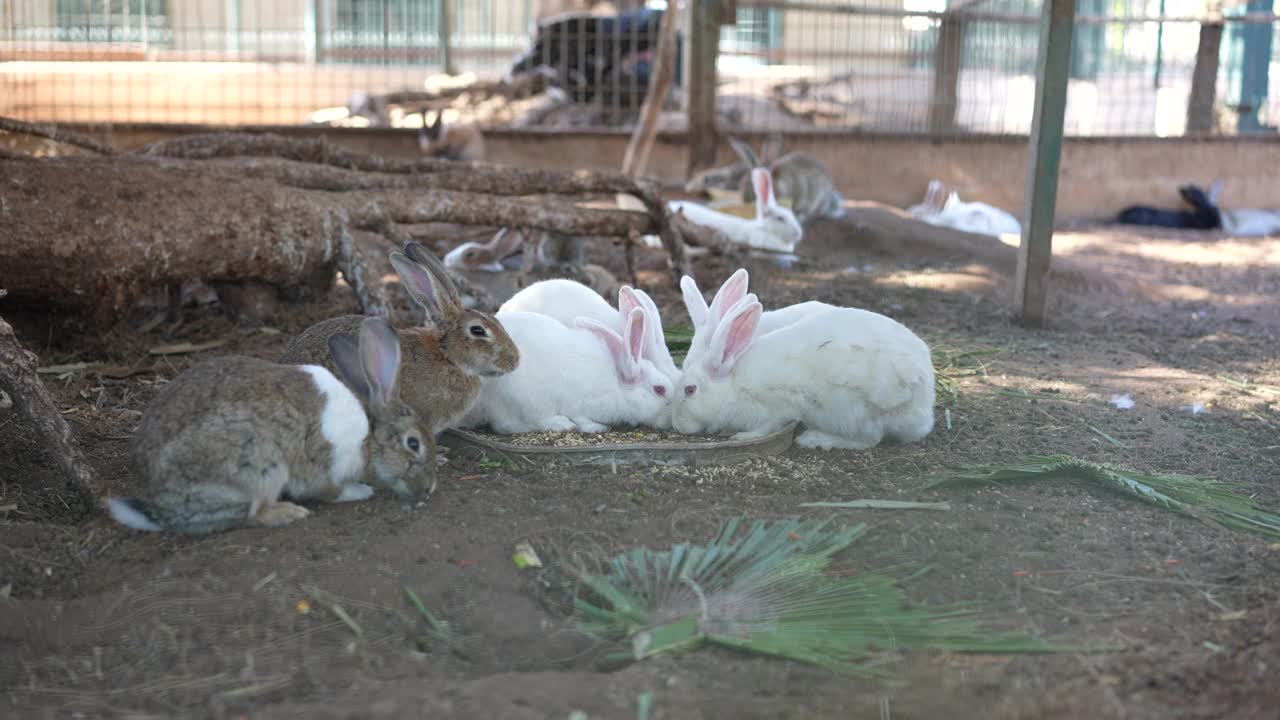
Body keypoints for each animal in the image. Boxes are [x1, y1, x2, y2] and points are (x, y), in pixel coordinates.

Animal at [108, 315, 435, 532]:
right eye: (413, 443)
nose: (430, 488)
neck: (368, 434)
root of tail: (159, 509)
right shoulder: (321, 462)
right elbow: (325, 489)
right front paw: (359, 491)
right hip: (261, 465)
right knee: (253, 513)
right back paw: (288, 513)